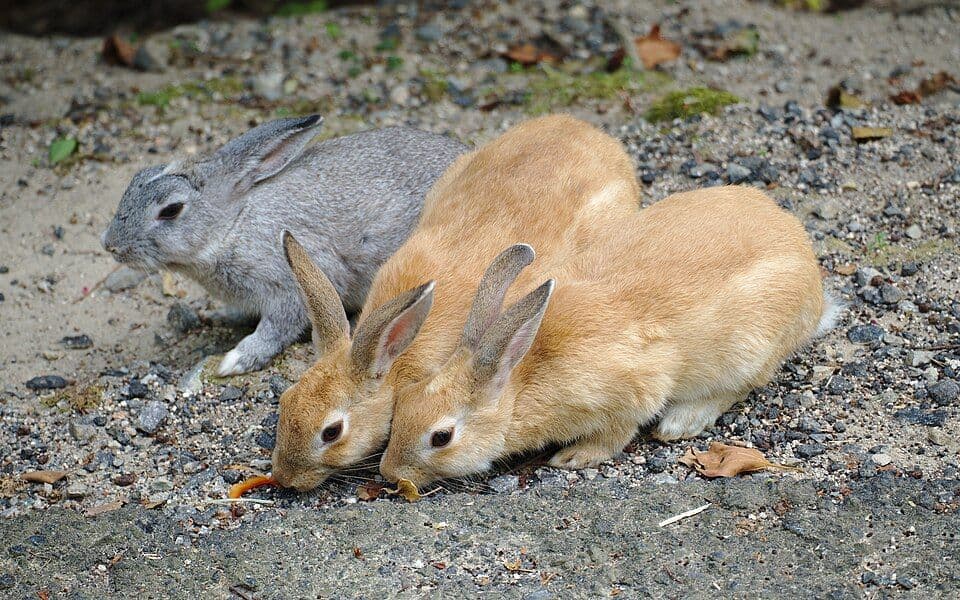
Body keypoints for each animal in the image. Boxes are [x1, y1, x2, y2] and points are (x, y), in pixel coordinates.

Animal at [100, 114, 468, 376]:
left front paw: (234, 361)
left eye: (171, 209)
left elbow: (277, 328)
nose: (110, 245)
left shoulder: (288, 286)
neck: (233, 224)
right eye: (136, 178)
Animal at [379, 185, 842, 488]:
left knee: (736, 387)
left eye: (441, 437)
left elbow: (616, 433)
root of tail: (813, 291)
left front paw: (573, 458)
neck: (519, 380)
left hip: (750, 346)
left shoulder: (630, 392)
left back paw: (679, 424)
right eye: (405, 403)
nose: (388, 473)